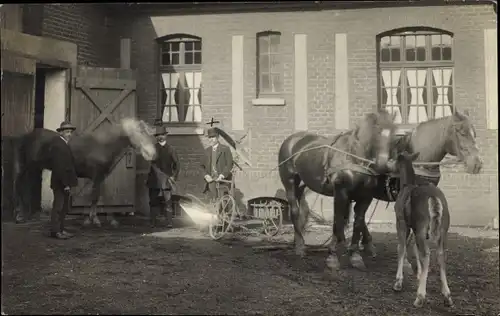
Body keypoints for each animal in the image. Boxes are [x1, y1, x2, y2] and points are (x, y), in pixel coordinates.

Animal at [12, 118, 156, 227]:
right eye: (140, 132)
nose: (151, 154)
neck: (103, 145)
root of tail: (27, 136)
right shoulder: (96, 175)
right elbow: (94, 196)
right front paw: (93, 220)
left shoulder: (101, 176)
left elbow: (101, 196)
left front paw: (105, 219)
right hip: (28, 167)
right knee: (20, 184)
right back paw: (20, 215)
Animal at [276, 109, 396, 272]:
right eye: (376, 133)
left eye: (394, 135)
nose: (385, 165)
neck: (354, 157)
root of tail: (292, 140)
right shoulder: (341, 193)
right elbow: (338, 220)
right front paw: (333, 256)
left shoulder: (365, 197)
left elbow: (357, 222)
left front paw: (355, 256)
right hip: (289, 182)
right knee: (294, 210)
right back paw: (300, 247)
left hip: (300, 185)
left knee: (301, 211)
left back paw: (297, 241)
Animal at [348, 110, 484, 270]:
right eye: (461, 132)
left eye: (474, 133)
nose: (477, 164)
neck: (420, 160)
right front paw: (407, 262)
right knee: (358, 215)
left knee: (359, 215)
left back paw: (367, 245)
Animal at [390, 151, 454, 308]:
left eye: (396, 158)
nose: (390, 168)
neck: (406, 185)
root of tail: (434, 198)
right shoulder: (415, 228)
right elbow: (413, 246)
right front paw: (418, 274)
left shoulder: (401, 222)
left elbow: (401, 248)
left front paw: (398, 282)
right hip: (443, 229)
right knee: (441, 254)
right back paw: (447, 296)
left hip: (421, 226)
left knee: (426, 254)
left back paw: (420, 297)